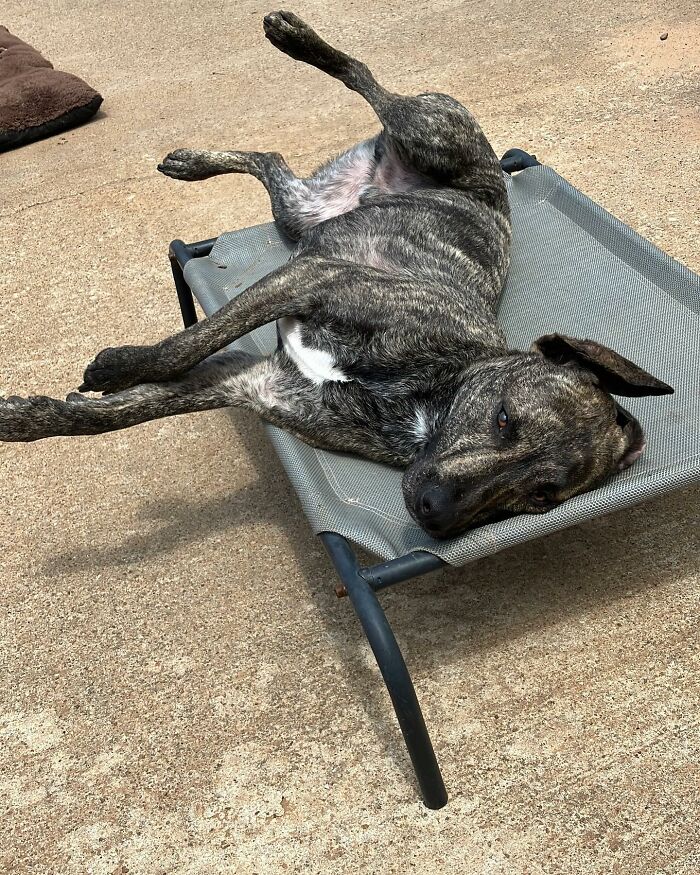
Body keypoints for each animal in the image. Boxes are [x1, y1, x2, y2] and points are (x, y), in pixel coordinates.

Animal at [0, 10, 672, 536]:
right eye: (504, 419)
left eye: (541, 496)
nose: (434, 510)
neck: (429, 395)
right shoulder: (311, 280)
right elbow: (178, 349)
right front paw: (112, 370)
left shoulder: (249, 382)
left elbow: (118, 413)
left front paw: (32, 416)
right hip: (427, 132)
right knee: (369, 81)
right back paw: (294, 39)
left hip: (300, 212)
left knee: (271, 159)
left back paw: (197, 160)